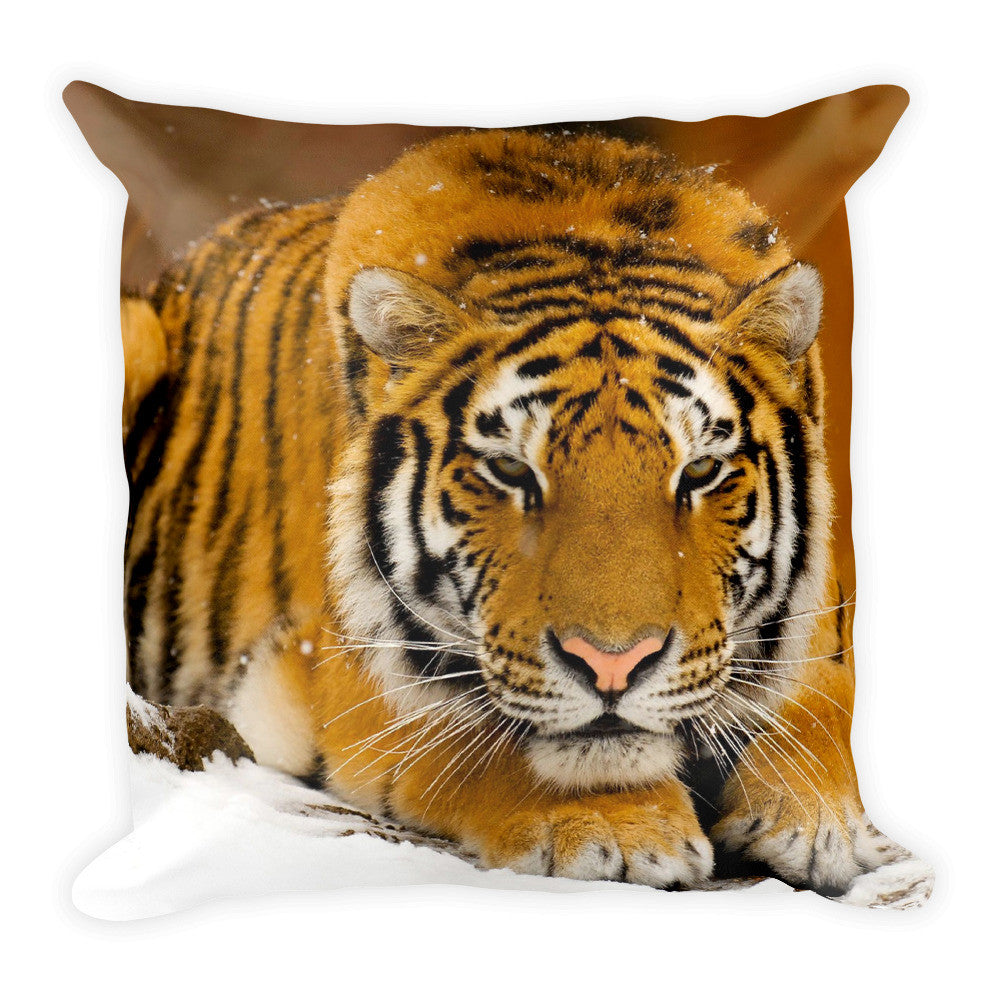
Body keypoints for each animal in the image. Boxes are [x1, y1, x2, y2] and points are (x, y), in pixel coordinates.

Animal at [123, 127, 924, 899]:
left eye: (699, 472)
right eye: (511, 471)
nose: (613, 665)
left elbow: (825, 695)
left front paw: (819, 820)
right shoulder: (349, 671)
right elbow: (488, 741)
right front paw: (617, 828)